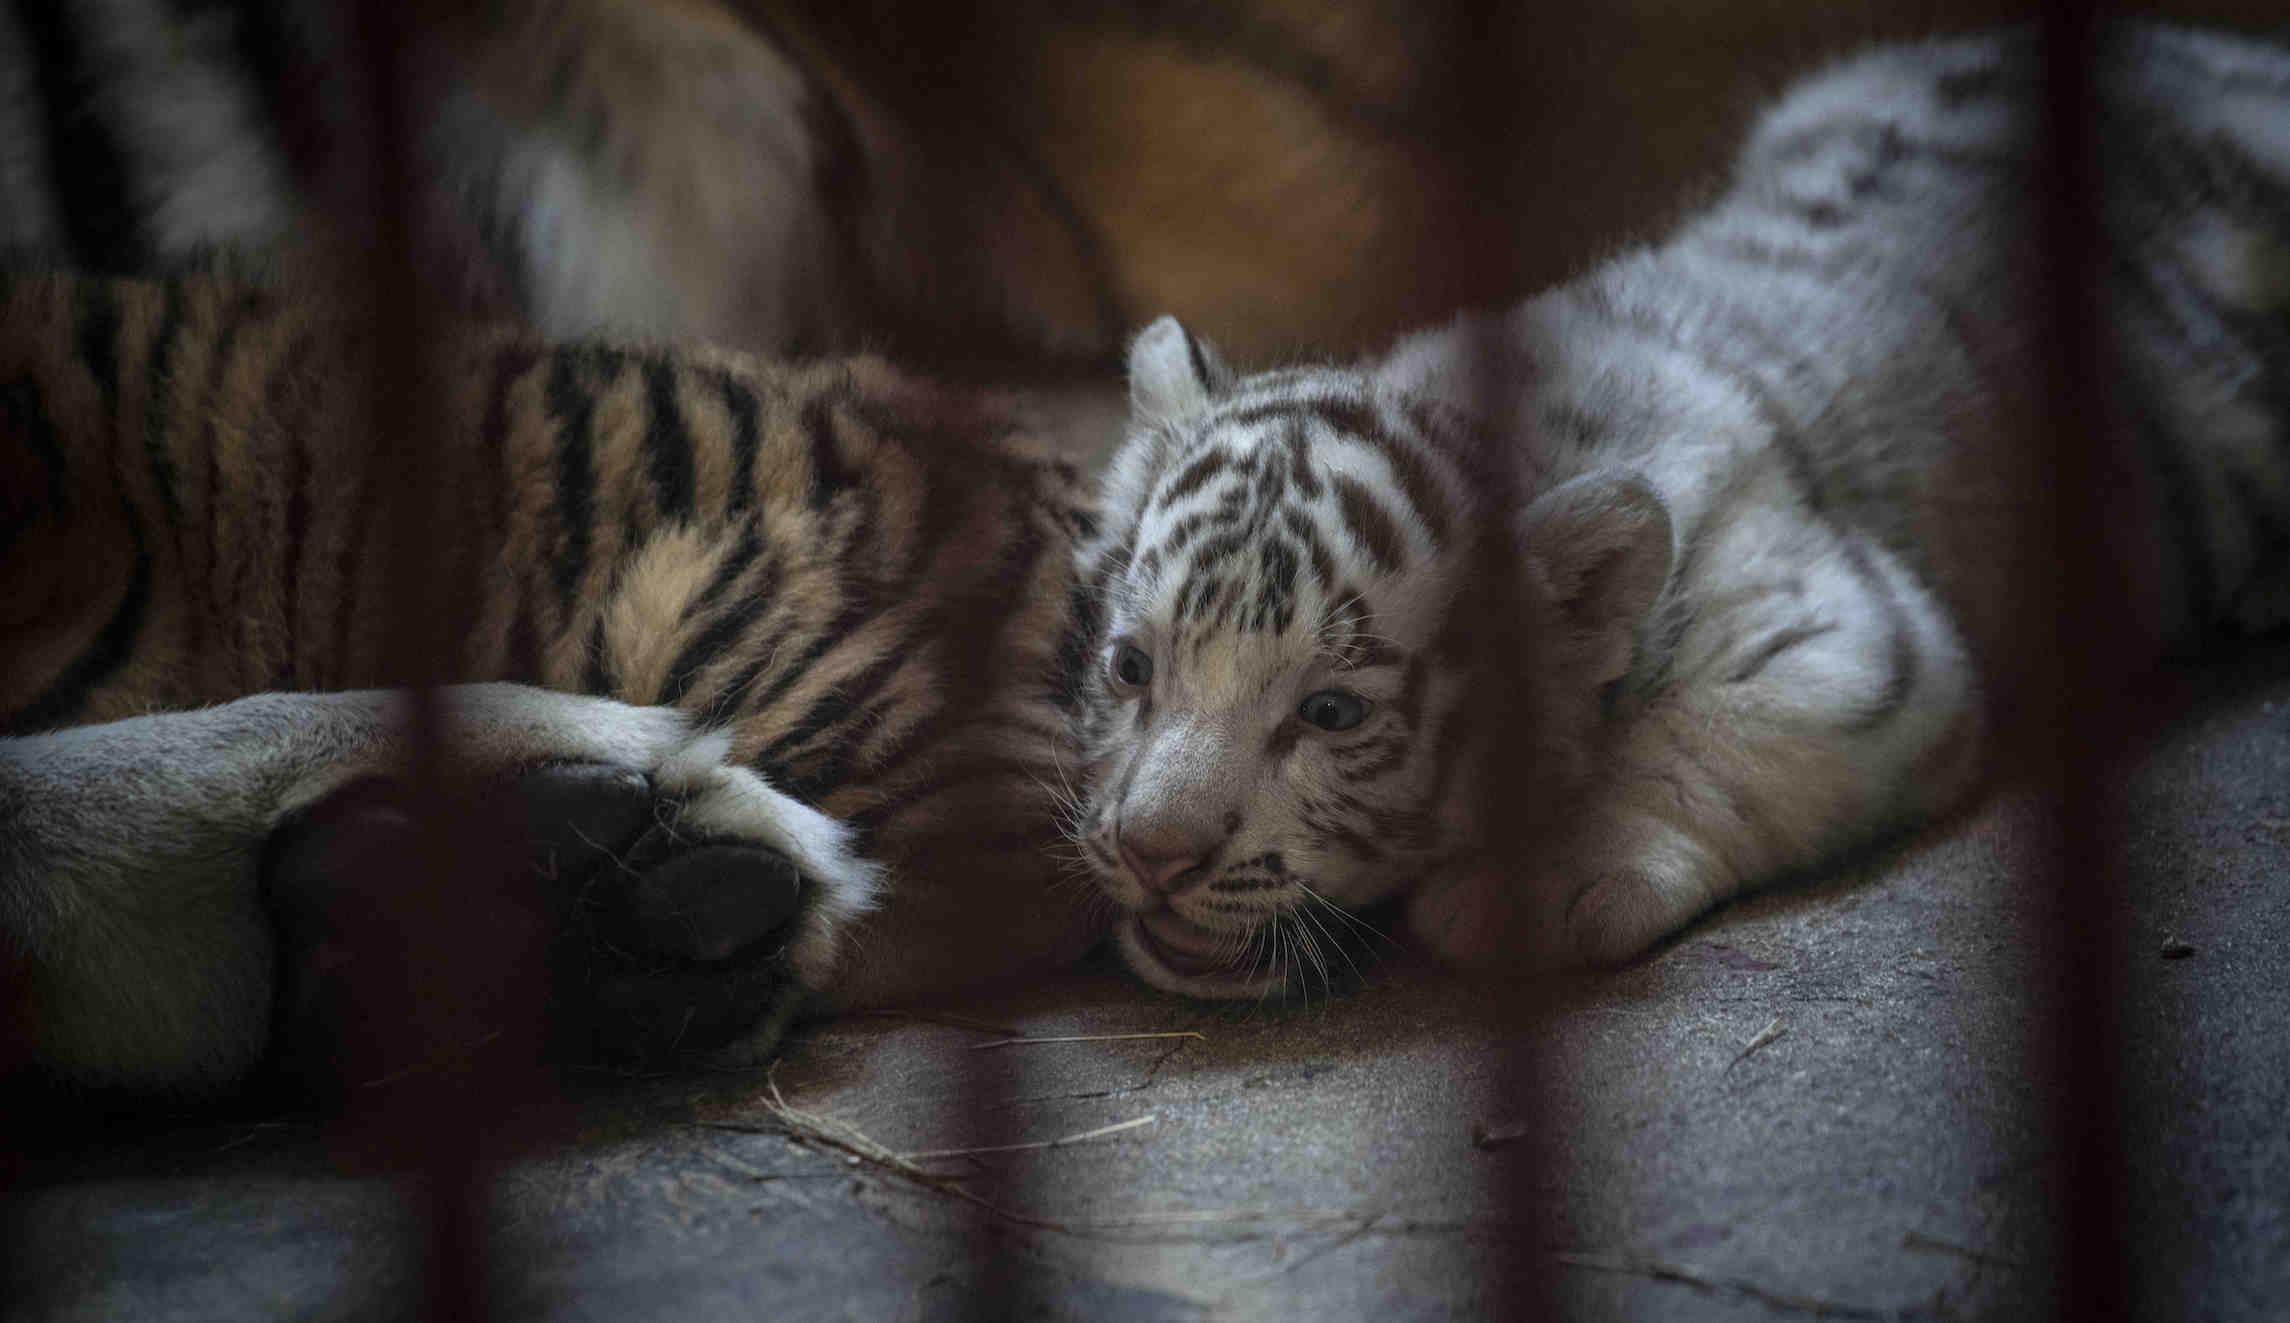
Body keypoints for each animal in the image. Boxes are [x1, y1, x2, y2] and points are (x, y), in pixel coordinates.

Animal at [1064, 22, 2290, 997]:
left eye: (1331, 713)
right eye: (1130, 668)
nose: (1155, 852)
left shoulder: (1858, 634)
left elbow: (1699, 740)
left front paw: (1534, 884)